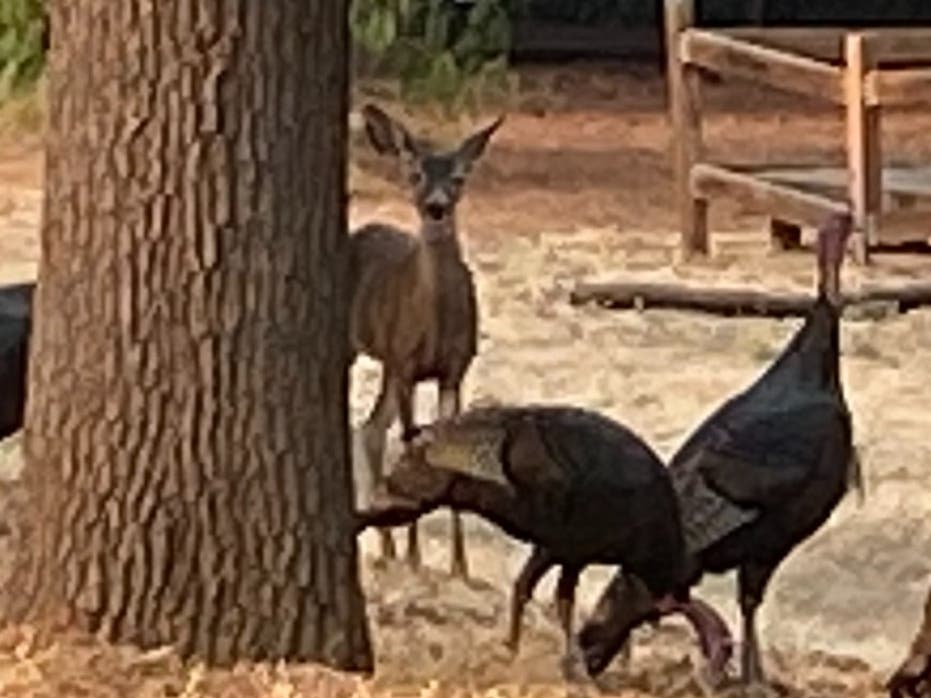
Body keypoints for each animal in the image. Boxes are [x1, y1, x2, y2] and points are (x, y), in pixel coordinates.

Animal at [348, 103, 503, 581]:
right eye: (413, 173)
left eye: (459, 176)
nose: (436, 208)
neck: (436, 324)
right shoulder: (407, 363)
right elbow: (411, 443)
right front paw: (418, 557)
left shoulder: (454, 369)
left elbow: (443, 454)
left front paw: (460, 567)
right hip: (368, 353)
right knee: (372, 428)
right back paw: (392, 547)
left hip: (389, 362)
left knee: (370, 428)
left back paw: (387, 545)